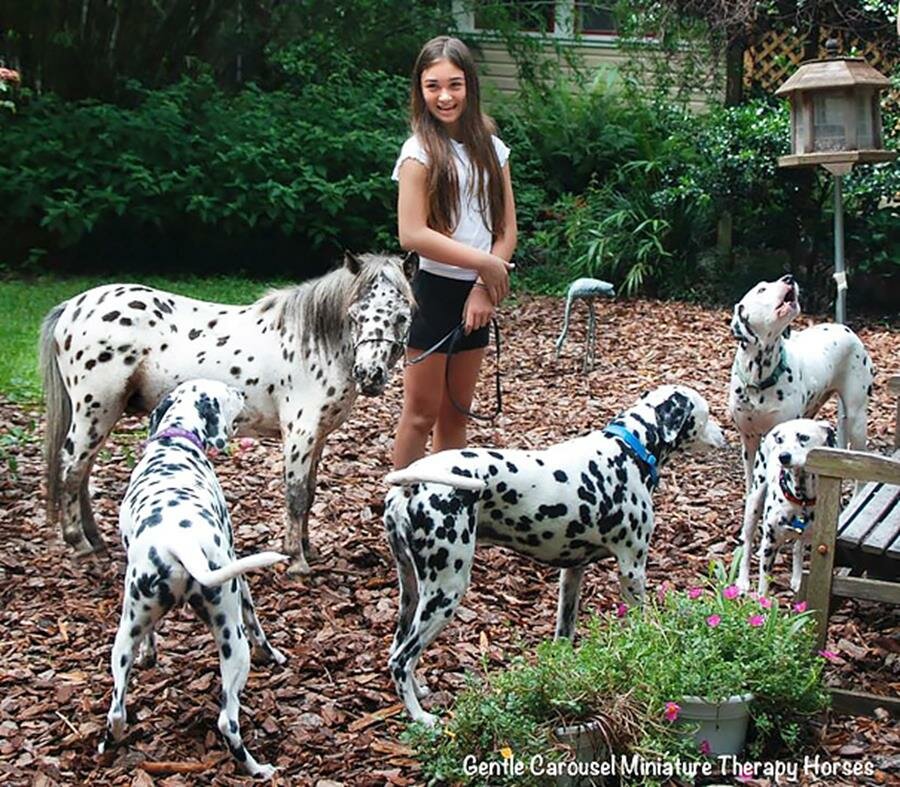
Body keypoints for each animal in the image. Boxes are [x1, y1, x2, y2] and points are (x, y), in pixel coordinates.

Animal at [100, 378, 286, 780]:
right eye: (227, 393)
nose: (242, 392)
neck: (174, 445)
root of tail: (179, 541)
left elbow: (151, 639)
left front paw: (150, 656)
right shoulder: (240, 582)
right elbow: (260, 628)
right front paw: (276, 655)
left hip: (124, 636)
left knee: (117, 710)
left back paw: (108, 745)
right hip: (234, 642)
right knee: (228, 721)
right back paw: (258, 768)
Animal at [384, 386, 728, 728]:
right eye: (707, 412)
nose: (724, 434)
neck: (629, 451)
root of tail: (410, 485)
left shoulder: (572, 572)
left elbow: (564, 635)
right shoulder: (632, 570)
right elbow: (642, 624)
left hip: (412, 594)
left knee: (397, 647)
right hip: (445, 591)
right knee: (400, 659)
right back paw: (421, 717)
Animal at [732, 274, 872, 490]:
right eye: (761, 289)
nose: (789, 278)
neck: (760, 378)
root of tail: (844, 327)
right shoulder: (749, 439)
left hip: (857, 419)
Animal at [740, 418, 836, 596]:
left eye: (803, 437)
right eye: (780, 440)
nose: (783, 456)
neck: (801, 498)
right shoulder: (770, 546)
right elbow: (763, 584)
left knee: (798, 548)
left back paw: (797, 579)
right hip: (754, 504)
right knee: (747, 545)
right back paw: (742, 581)